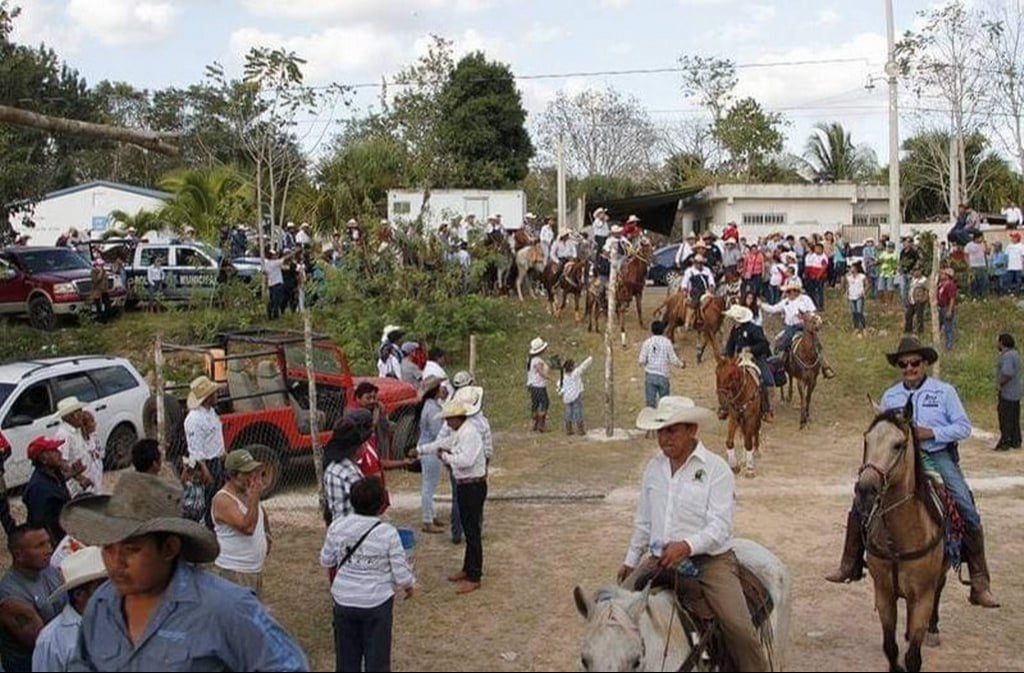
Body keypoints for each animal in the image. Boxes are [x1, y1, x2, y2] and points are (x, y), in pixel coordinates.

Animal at [856, 407, 942, 671]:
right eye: (867, 440)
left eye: (898, 445)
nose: (865, 489)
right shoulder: (884, 593)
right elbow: (890, 647)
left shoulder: (923, 595)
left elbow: (913, 657)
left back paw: (933, 631)